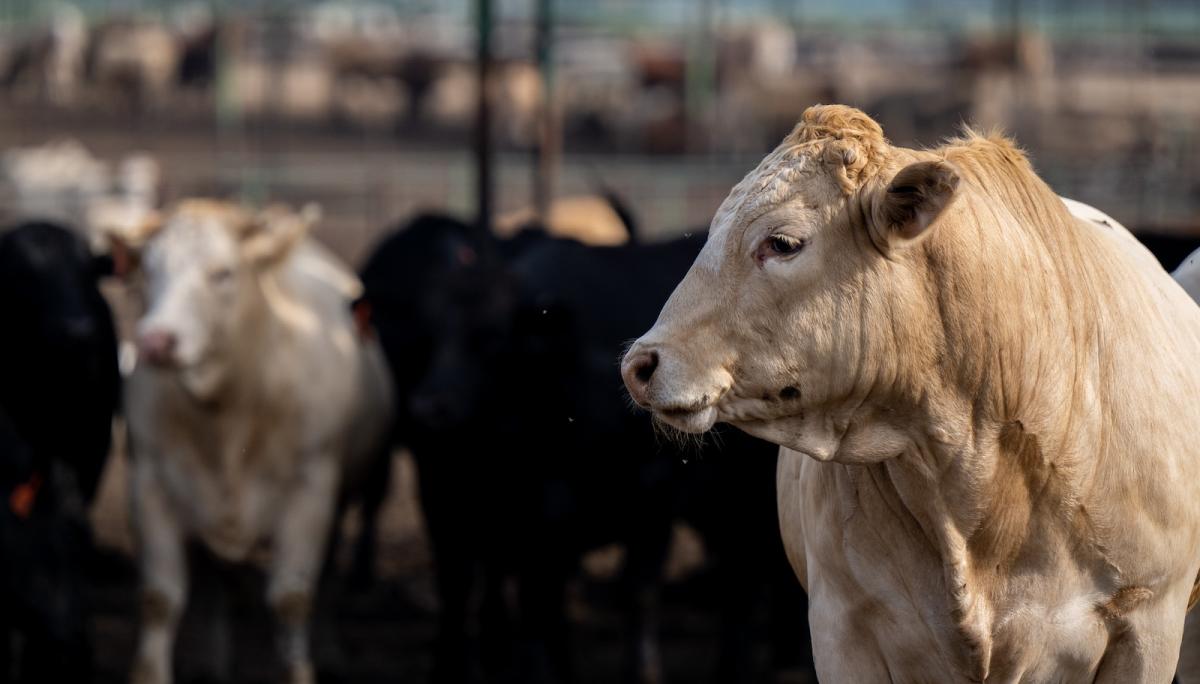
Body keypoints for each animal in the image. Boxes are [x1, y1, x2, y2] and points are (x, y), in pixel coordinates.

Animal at [116, 200, 393, 684]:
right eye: (148, 271)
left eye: (223, 273)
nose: (155, 340)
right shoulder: (148, 483)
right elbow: (159, 598)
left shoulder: (311, 491)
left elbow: (292, 599)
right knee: (219, 580)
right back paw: (213, 665)